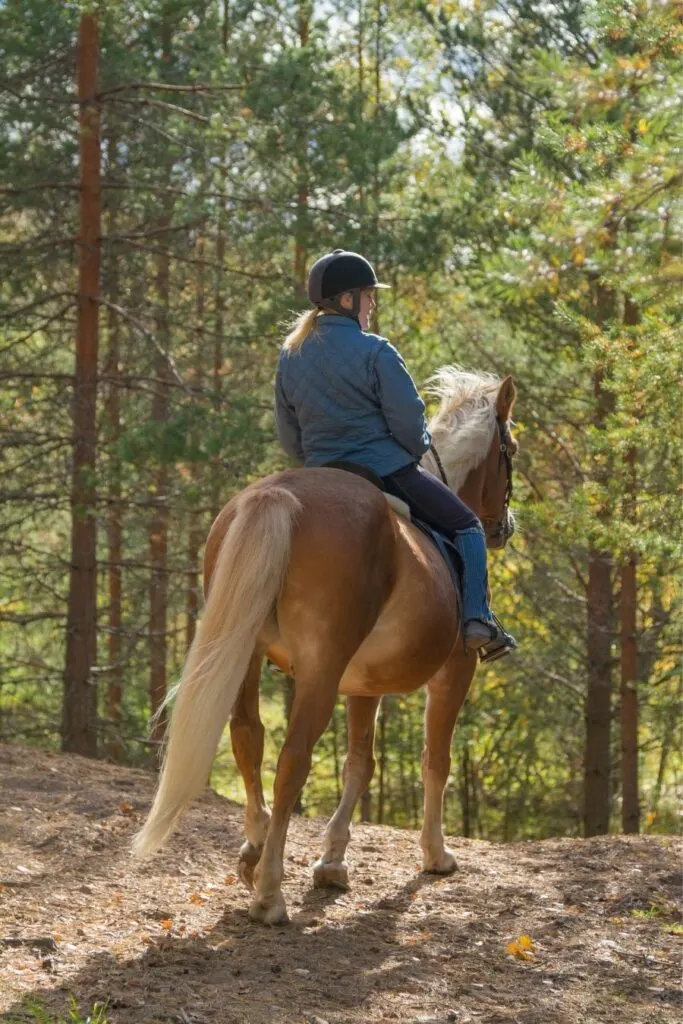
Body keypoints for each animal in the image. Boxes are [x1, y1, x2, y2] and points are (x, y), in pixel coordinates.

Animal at [133, 370, 518, 929]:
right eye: (510, 450)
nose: (502, 527)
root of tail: (280, 494)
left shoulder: (365, 684)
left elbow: (360, 762)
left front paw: (332, 861)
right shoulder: (453, 673)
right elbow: (435, 760)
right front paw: (435, 854)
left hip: (247, 655)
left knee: (248, 738)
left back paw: (254, 851)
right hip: (319, 670)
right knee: (293, 759)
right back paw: (270, 894)